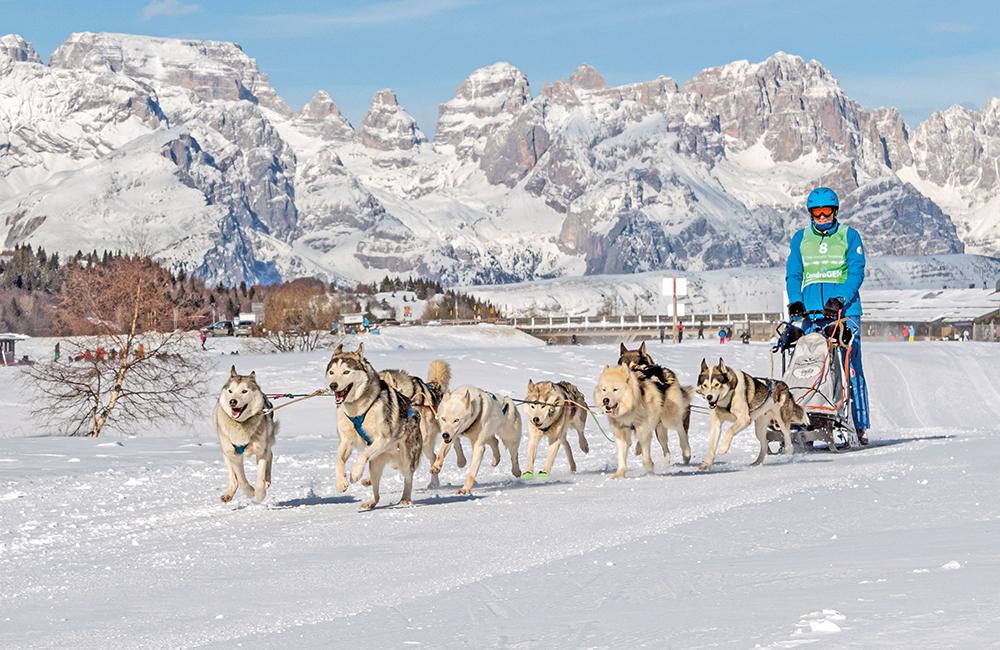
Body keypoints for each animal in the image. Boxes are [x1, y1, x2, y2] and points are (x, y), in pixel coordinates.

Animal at [214, 364, 278, 502]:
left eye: (244, 391)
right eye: (230, 391)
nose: (232, 401)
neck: (240, 424)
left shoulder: (261, 451)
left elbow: (259, 479)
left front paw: (260, 494)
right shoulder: (234, 456)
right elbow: (242, 480)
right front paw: (250, 493)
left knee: (270, 455)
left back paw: (266, 482)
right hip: (225, 453)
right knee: (234, 479)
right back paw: (229, 493)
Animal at [328, 342, 422, 508]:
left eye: (346, 372)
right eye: (331, 372)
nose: (333, 385)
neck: (357, 409)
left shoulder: (382, 439)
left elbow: (362, 456)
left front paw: (355, 474)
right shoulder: (345, 441)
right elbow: (338, 462)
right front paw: (341, 482)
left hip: (406, 458)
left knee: (408, 478)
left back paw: (405, 498)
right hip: (375, 463)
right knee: (376, 488)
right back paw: (371, 503)